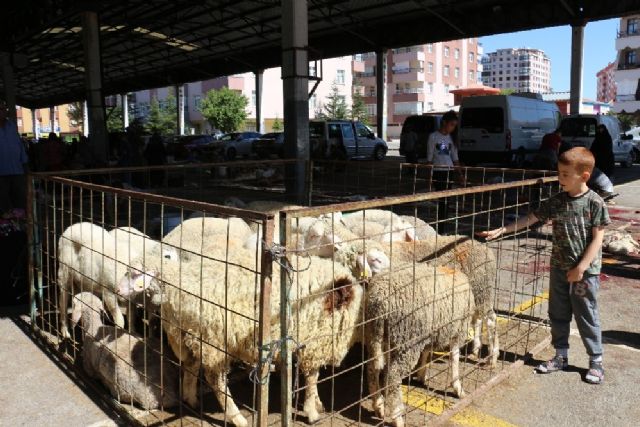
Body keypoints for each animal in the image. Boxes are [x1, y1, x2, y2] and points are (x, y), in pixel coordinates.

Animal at [118, 246, 363, 426]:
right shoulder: (315, 341)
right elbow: (312, 379)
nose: (119, 291)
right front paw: (312, 411)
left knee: (190, 366)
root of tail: (178, 287)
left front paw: (317, 404)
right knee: (215, 379)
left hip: (189, 336)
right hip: (214, 339)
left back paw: (191, 398)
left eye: (135, 274)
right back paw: (237, 418)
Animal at [365, 264, 475, 427]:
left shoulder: (430, 333)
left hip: (378, 337)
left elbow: (426, 353)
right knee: (392, 377)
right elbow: (455, 358)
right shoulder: (458, 329)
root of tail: (380, 301)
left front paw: (422, 374)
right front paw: (458, 388)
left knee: (372, 369)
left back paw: (378, 406)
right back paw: (397, 418)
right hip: (407, 340)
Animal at [371, 235, 499, 367]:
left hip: (482, 290)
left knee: (490, 320)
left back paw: (492, 357)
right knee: (478, 319)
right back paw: (476, 349)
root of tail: (485, 248)